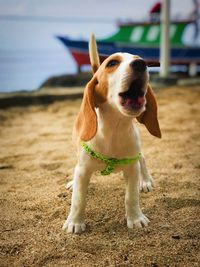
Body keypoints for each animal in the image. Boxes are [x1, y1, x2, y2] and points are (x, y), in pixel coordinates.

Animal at [62, 34, 161, 234]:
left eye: (141, 59)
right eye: (112, 63)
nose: (141, 63)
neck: (114, 129)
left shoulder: (131, 167)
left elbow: (131, 197)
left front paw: (135, 218)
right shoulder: (83, 170)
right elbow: (79, 200)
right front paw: (75, 222)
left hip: (137, 151)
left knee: (143, 159)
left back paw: (145, 180)